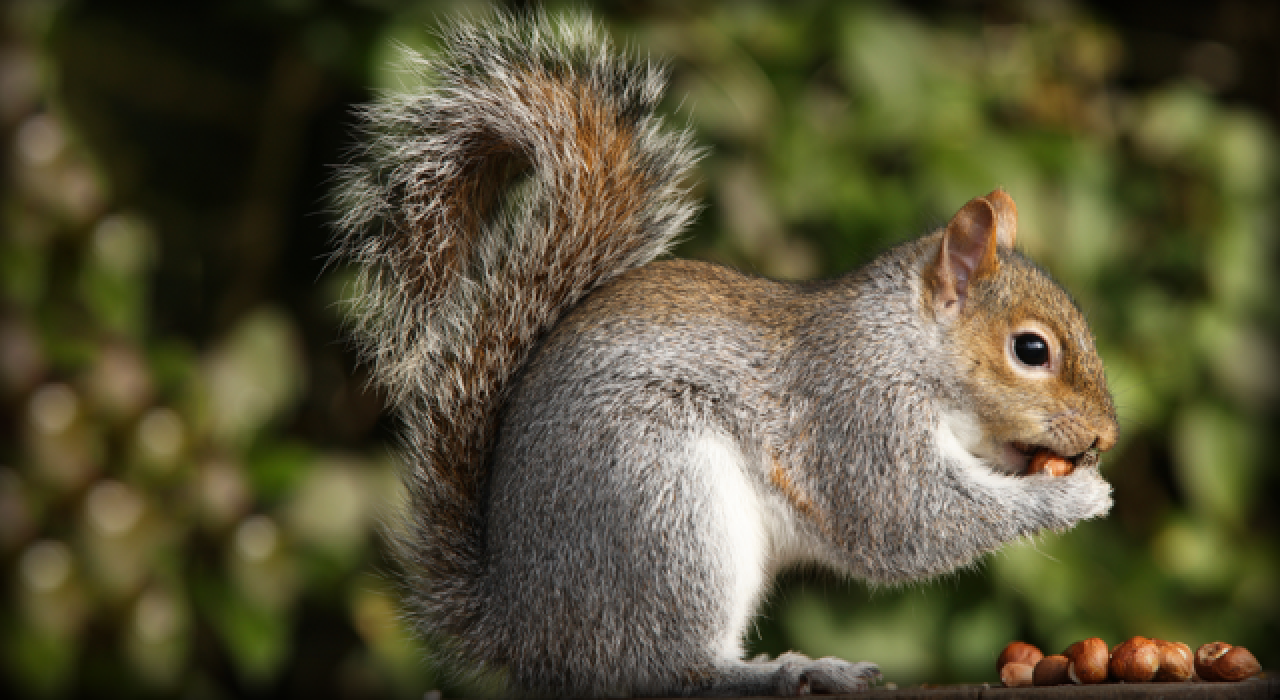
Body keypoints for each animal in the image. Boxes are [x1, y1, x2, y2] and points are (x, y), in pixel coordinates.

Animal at [330, 12, 1121, 700]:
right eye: (1031, 350)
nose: (1107, 436)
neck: (904, 344)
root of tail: (526, 632)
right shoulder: (858, 415)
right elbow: (907, 520)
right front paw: (1074, 496)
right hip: (666, 505)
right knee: (668, 668)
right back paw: (790, 669)